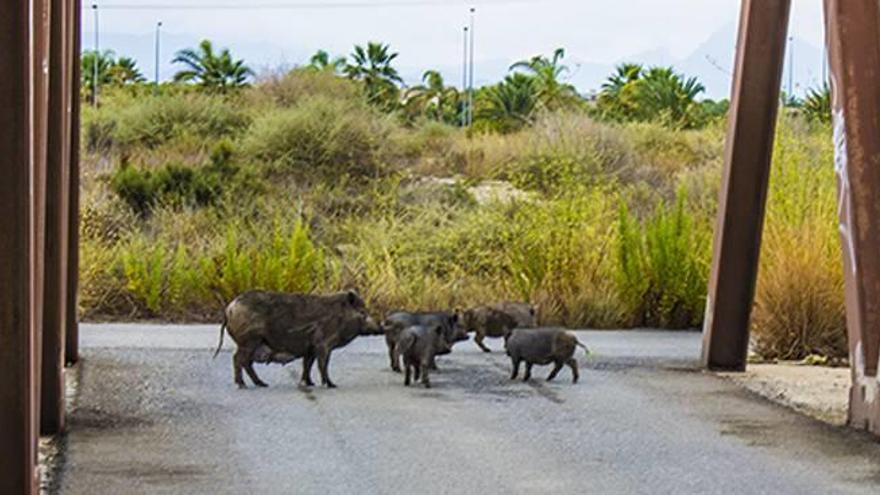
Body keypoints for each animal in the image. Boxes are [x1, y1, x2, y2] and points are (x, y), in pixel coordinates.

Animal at [215, 290, 380, 392]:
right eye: (363, 312)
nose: (381, 327)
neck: (340, 318)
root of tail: (229, 309)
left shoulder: (311, 348)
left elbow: (307, 365)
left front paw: (309, 383)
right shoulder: (323, 344)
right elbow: (323, 365)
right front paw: (331, 385)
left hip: (252, 343)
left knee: (246, 363)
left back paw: (262, 384)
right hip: (248, 341)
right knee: (238, 359)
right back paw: (242, 385)